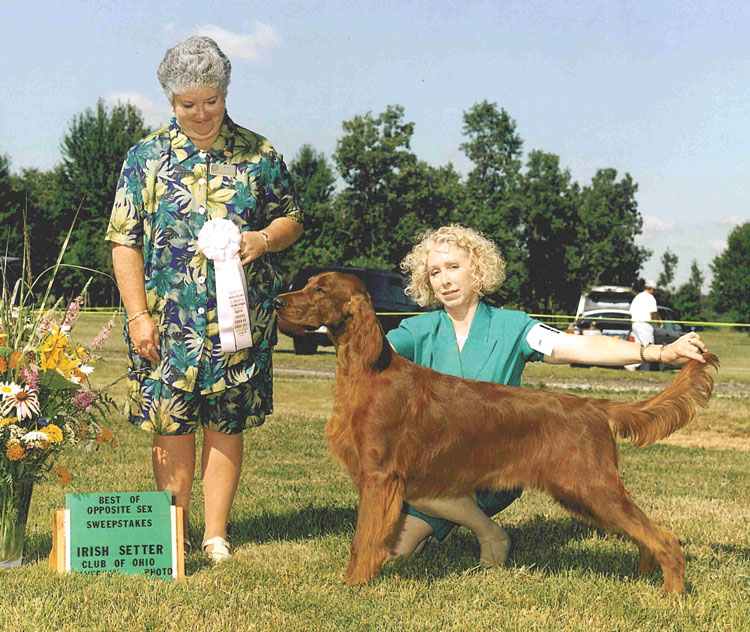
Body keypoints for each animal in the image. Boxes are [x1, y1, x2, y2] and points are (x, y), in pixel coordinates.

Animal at [274, 270, 720, 592]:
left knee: (664, 536)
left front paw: (352, 585)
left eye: (320, 289)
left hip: (593, 487)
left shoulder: (380, 478)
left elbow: (363, 539)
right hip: (585, 494)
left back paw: (672, 593)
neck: (367, 372)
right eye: (306, 284)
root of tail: (593, 405)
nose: (276, 300)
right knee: (647, 534)